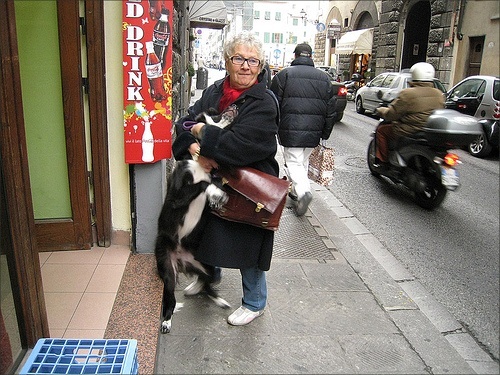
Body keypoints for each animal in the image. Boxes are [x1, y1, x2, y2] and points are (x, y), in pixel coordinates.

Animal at [154, 108, 236, 334]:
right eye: (216, 115)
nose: (233, 109)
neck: (201, 164)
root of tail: (182, 262)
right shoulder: (178, 194)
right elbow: (202, 184)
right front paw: (215, 192)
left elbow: (213, 181)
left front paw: (217, 194)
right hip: (168, 271)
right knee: (170, 300)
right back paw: (166, 321)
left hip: (207, 266)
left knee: (208, 282)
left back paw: (216, 298)